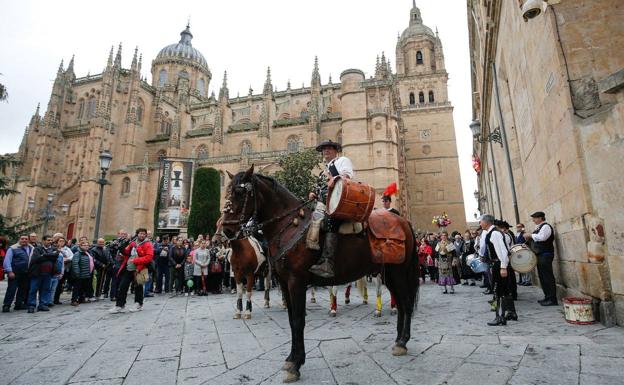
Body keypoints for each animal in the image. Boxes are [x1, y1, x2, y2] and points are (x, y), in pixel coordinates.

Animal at [219, 166, 420, 382]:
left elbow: (298, 320)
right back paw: (398, 340)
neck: (290, 225)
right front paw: (291, 358)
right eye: (228, 191)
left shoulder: (296, 282)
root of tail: (403, 222)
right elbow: (291, 319)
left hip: (398, 272)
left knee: (406, 303)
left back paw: (402, 342)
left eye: (240, 192)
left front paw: (296, 365)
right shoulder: (284, 282)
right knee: (402, 304)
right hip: (388, 274)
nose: (227, 229)